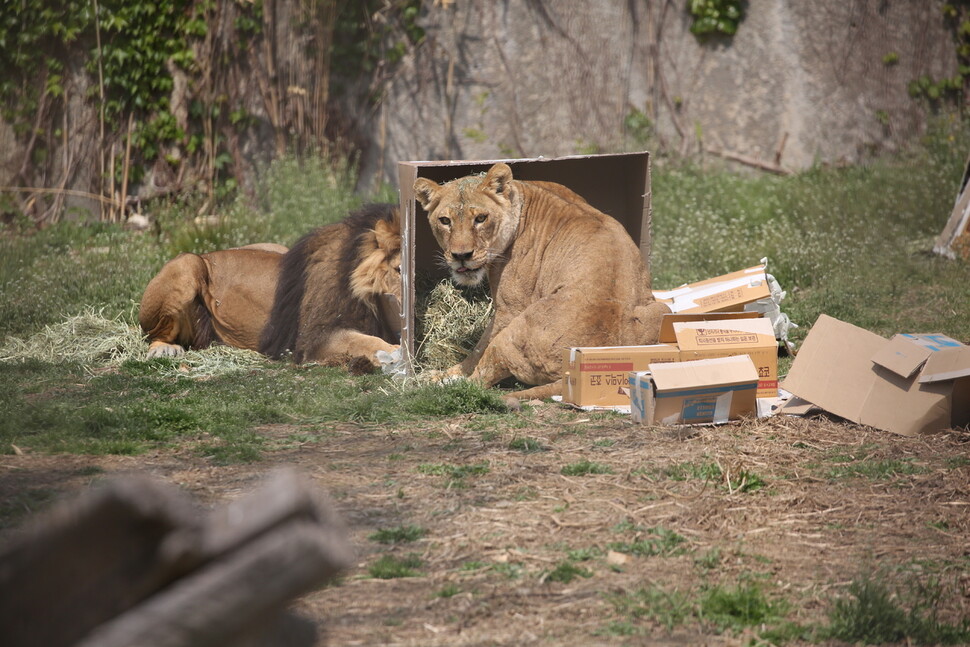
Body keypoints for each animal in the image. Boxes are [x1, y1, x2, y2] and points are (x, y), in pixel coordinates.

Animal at [140, 202, 400, 374]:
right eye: (399, 269)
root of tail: (208, 254)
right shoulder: (315, 339)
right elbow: (364, 342)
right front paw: (396, 353)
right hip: (187, 264)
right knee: (153, 335)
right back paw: (165, 350)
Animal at [412, 165, 668, 400]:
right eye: (445, 221)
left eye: (481, 218)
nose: (461, 255)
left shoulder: (508, 308)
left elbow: (478, 349)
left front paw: (446, 374)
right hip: (659, 309)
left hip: (513, 332)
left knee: (477, 382)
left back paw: (438, 385)